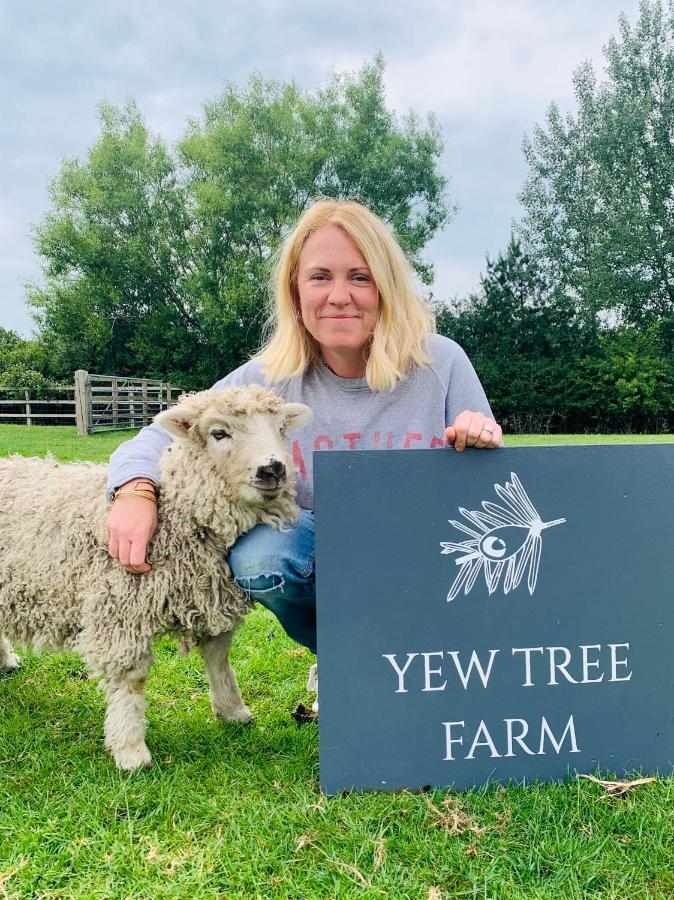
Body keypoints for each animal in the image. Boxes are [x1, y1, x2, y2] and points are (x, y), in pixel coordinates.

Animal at [0, 384, 312, 768]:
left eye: (281, 429)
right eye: (218, 433)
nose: (273, 469)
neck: (177, 515)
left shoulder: (211, 597)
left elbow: (218, 657)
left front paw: (233, 711)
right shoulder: (119, 611)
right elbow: (131, 680)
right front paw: (131, 750)